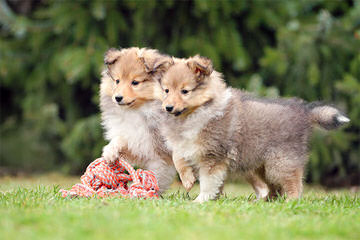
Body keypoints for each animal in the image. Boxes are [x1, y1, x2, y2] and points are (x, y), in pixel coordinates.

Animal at [100, 47, 176, 193]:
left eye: (135, 82)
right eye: (117, 81)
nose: (118, 98)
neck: (137, 110)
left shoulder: (160, 153)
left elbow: (157, 174)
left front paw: (147, 191)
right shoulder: (137, 141)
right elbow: (122, 139)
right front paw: (109, 151)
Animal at [158, 54, 348, 202]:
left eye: (185, 91)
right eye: (166, 90)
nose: (168, 108)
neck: (192, 115)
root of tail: (304, 111)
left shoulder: (213, 156)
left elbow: (208, 182)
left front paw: (201, 200)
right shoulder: (183, 145)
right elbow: (177, 158)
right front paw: (188, 180)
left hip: (280, 161)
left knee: (292, 182)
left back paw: (291, 201)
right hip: (261, 166)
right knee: (274, 188)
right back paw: (263, 201)